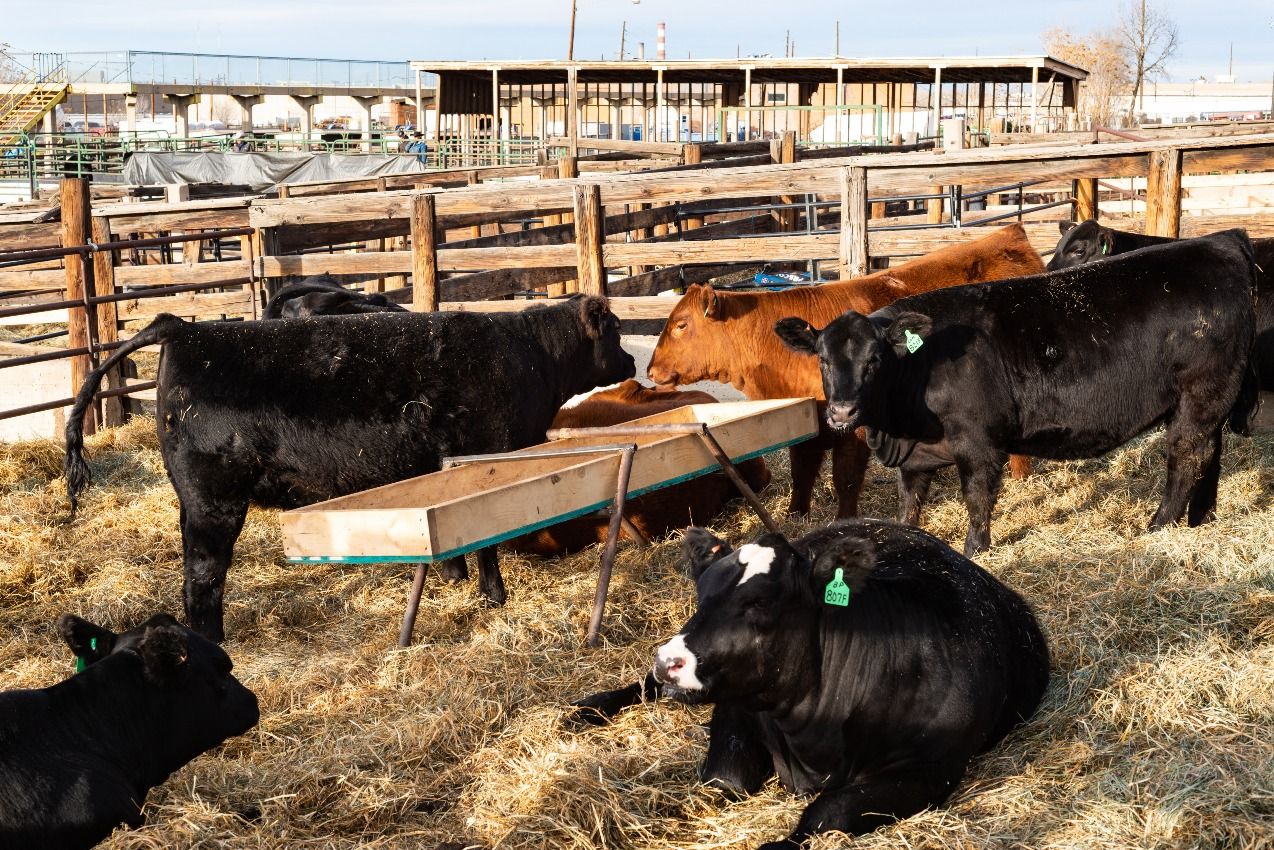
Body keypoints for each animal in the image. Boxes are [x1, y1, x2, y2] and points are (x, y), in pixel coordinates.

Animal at [64, 296, 636, 642]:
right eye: (614, 331)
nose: (632, 361)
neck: (528, 356)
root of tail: (183, 330)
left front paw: (454, 580)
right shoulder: (486, 460)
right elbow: (485, 541)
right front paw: (494, 597)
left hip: (194, 502)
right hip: (215, 500)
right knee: (203, 575)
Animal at [571, 519, 1049, 849]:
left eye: (761, 602)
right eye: (700, 594)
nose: (669, 661)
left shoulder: (931, 769)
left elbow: (828, 812)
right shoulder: (739, 701)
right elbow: (726, 779)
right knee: (643, 687)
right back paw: (590, 708)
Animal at [646, 224, 1043, 519]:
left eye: (680, 325)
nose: (650, 369)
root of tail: (1010, 234)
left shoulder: (854, 429)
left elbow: (845, 478)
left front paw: (843, 519)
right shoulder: (808, 426)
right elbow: (802, 471)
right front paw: (796, 513)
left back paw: (1021, 475)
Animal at [776, 229, 1259, 556]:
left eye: (874, 360)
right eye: (821, 358)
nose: (841, 411)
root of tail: (1220, 241)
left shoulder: (978, 444)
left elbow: (977, 499)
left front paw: (975, 550)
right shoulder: (915, 459)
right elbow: (908, 504)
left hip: (1200, 396)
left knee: (1186, 457)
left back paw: (1159, 526)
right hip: (1208, 403)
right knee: (1209, 456)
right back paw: (1200, 519)